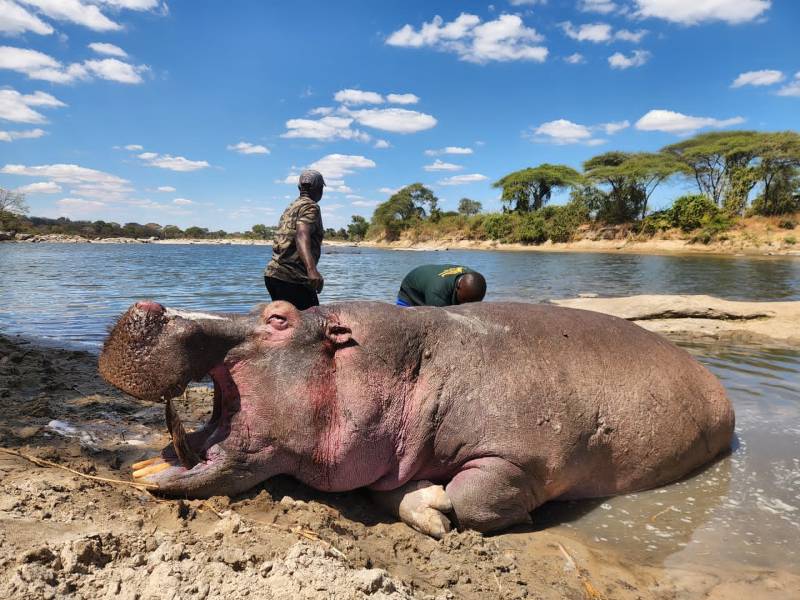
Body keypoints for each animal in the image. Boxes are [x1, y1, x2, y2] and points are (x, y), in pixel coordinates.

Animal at [99, 300, 734, 537]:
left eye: (278, 316)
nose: (148, 307)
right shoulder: (386, 458)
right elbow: (398, 492)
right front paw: (431, 507)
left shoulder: (523, 455)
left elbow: (480, 496)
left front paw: (488, 512)